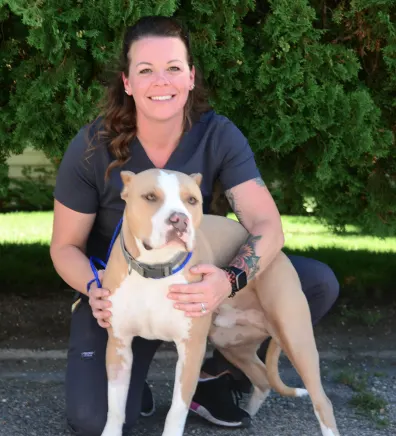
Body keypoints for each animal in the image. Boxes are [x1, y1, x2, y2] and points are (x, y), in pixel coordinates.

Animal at [100, 169, 340, 436]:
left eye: (191, 200)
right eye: (150, 196)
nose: (179, 220)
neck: (156, 269)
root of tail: (281, 255)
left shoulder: (191, 350)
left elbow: (176, 411)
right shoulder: (119, 346)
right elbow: (115, 409)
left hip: (296, 339)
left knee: (323, 401)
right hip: (231, 343)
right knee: (262, 378)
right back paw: (247, 413)